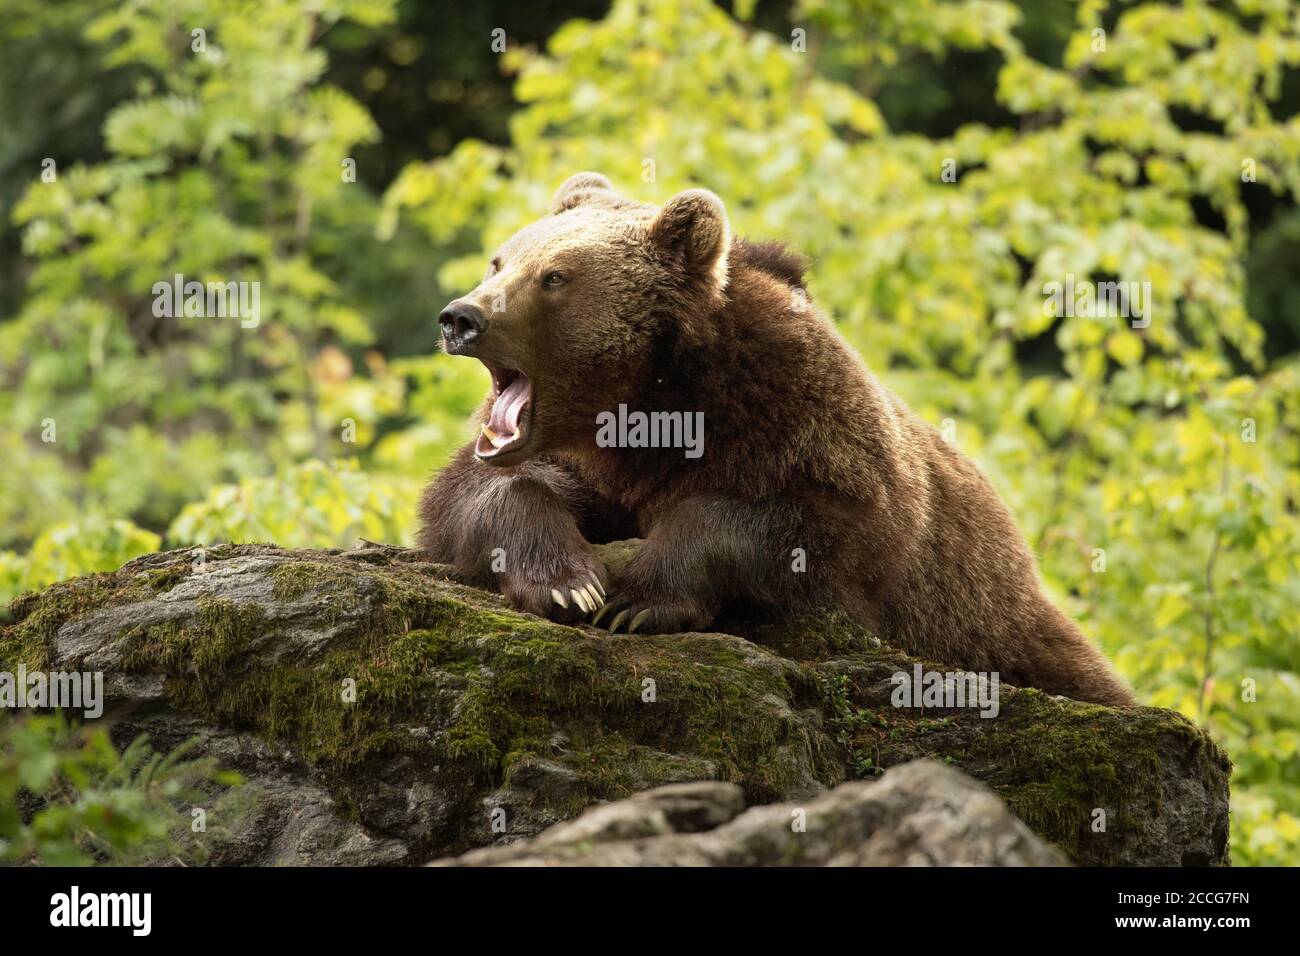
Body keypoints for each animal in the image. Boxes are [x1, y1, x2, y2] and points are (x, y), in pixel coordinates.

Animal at [418, 172, 1135, 707]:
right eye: (500, 259)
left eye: (555, 277)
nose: (460, 317)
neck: (648, 408)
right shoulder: (580, 463)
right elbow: (476, 492)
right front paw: (569, 582)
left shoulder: (805, 432)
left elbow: (797, 529)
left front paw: (634, 599)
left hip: (1005, 629)